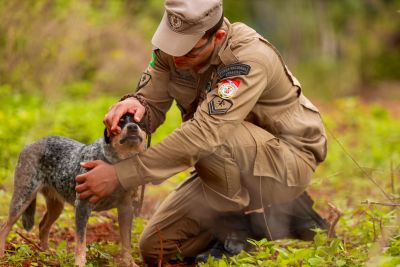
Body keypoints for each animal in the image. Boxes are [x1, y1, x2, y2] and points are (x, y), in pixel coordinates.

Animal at [0, 113, 147, 267]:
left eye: (140, 122)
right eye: (120, 122)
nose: (132, 127)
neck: (116, 164)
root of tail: (29, 145)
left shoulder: (126, 209)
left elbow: (126, 242)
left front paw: (130, 263)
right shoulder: (82, 206)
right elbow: (80, 243)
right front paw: (79, 264)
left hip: (56, 206)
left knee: (42, 226)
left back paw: (48, 255)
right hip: (23, 198)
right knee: (4, 227)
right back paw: (2, 255)